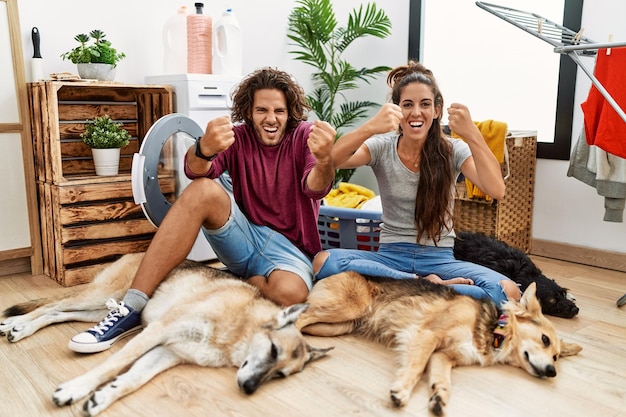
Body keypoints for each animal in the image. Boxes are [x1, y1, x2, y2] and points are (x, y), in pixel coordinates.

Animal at [0, 254, 330, 416]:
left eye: (280, 376)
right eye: (273, 350)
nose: (249, 389)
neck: (239, 328)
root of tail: (137, 252)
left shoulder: (166, 353)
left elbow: (131, 380)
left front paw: (103, 397)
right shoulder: (157, 332)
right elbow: (111, 366)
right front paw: (76, 388)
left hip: (96, 310)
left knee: (57, 313)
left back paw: (20, 326)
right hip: (101, 296)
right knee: (52, 305)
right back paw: (14, 325)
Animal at [298, 272, 580, 414]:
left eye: (556, 357)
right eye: (544, 340)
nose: (552, 372)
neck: (492, 329)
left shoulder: (444, 356)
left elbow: (442, 378)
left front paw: (439, 397)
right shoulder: (426, 335)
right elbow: (415, 367)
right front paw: (401, 391)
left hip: (340, 325)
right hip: (347, 308)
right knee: (299, 315)